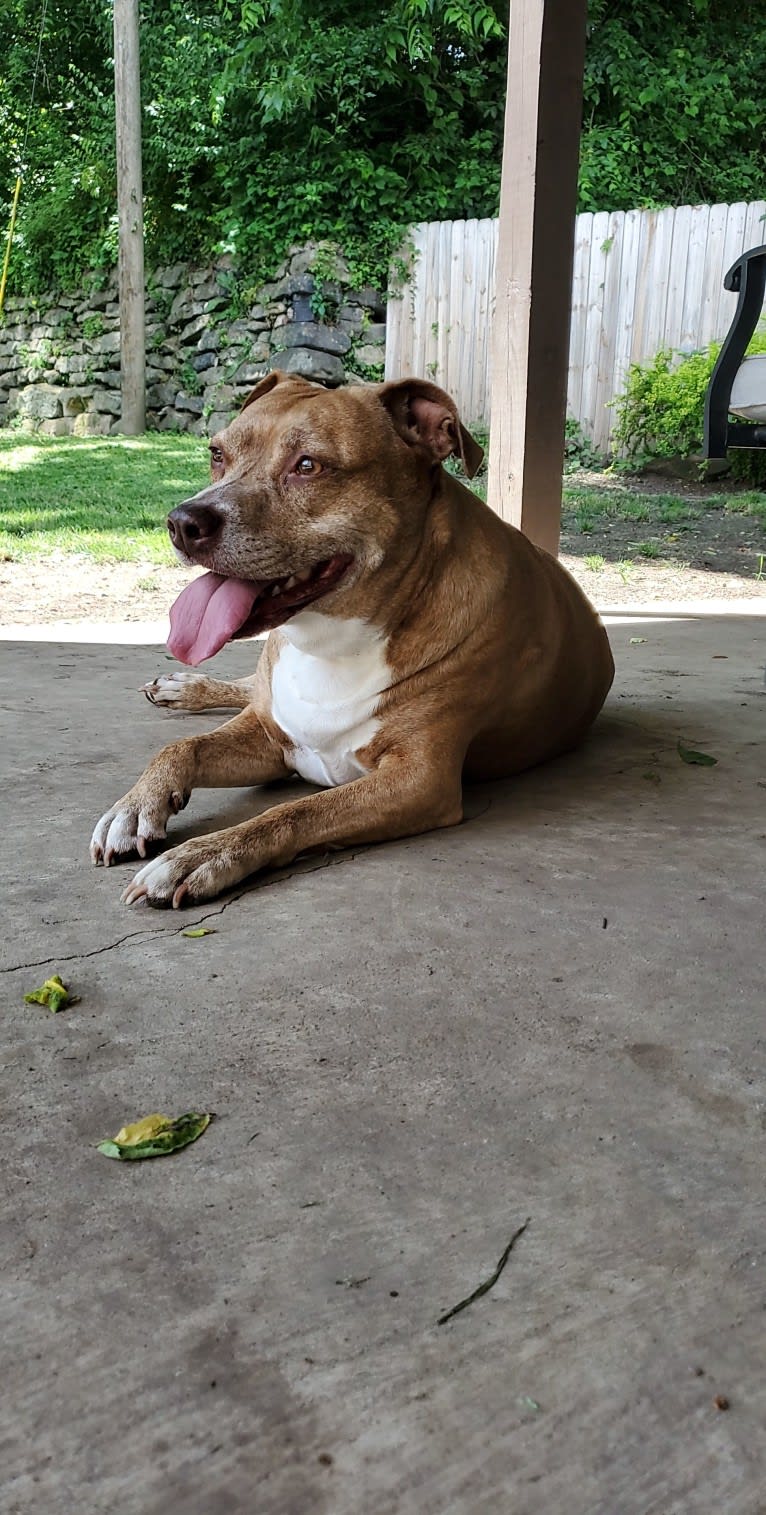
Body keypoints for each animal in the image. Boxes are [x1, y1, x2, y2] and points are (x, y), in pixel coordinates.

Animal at [91, 371, 617, 902]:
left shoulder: (418, 781)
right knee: (242, 689)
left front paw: (204, 854)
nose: (183, 522)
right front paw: (134, 806)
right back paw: (184, 687)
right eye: (217, 454)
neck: (333, 645)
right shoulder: (270, 733)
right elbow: (184, 747)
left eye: (308, 465)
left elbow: (293, 811)